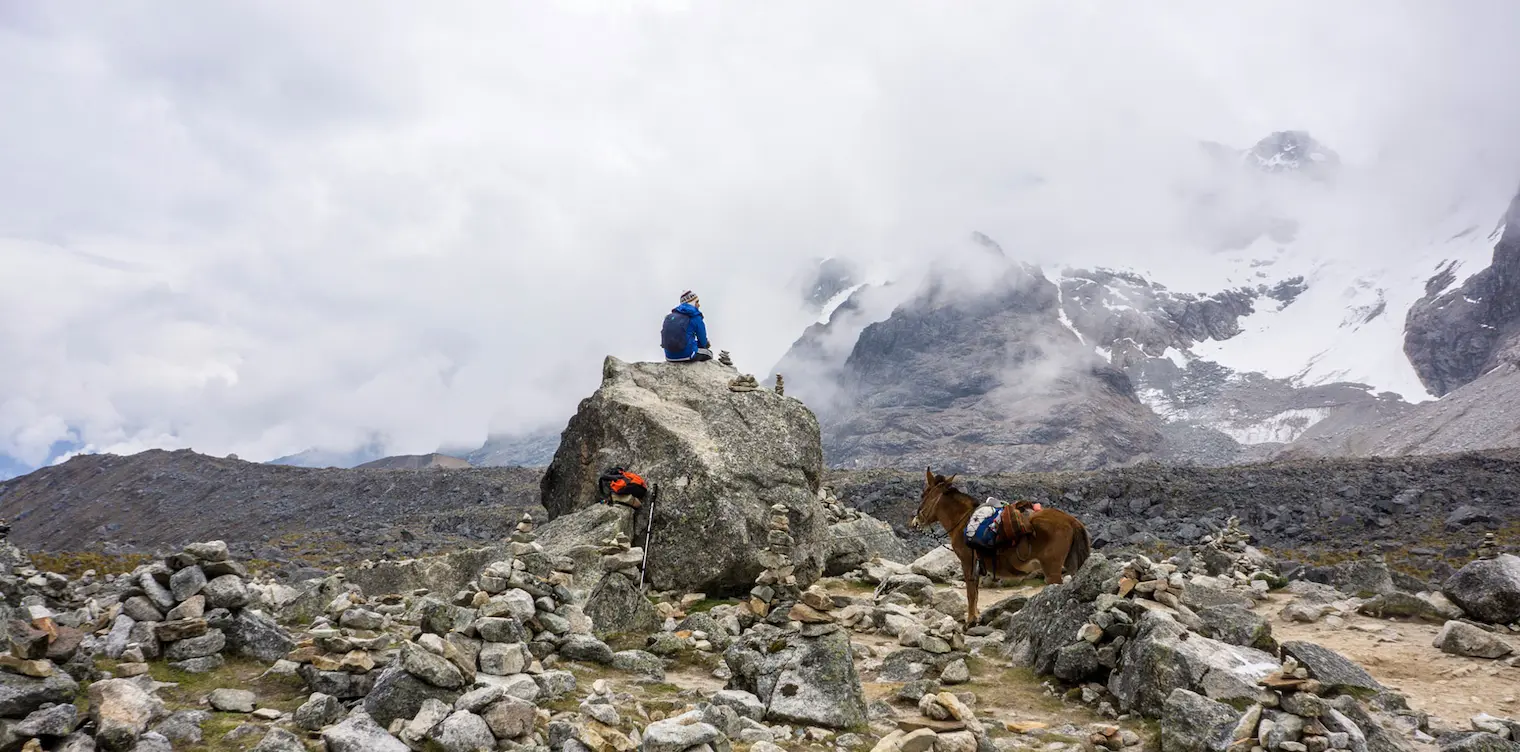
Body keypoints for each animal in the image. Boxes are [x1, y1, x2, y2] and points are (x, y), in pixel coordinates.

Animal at [912, 470, 1094, 622]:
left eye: (923, 494)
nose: (916, 521)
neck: (963, 522)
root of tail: (1072, 521)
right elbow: (975, 591)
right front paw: (976, 617)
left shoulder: (967, 561)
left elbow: (971, 591)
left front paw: (970, 621)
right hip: (1071, 564)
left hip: (1052, 570)